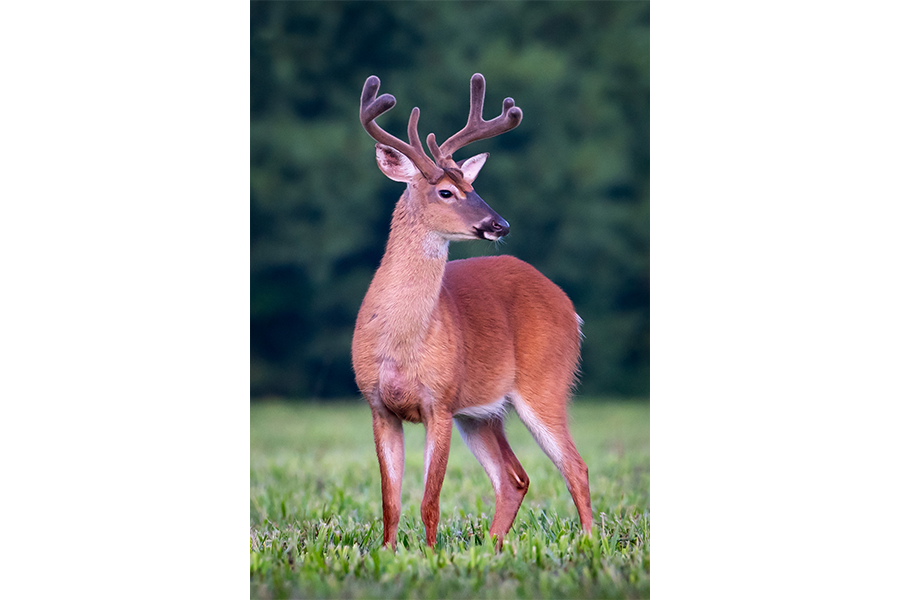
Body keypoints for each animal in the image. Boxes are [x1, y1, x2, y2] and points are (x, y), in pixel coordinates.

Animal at [350, 72, 592, 552]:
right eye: (446, 191)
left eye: (474, 188)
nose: (500, 224)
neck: (400, 340)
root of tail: (568, 305)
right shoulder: (378, 405)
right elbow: (390, 502)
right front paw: (388, 554)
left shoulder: (440, 402)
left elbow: (430, 500)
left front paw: (428, 556)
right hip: (482, 414)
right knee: (514, 478)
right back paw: (493, 548)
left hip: (545, 382)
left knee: (575, 467)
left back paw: (592, 543)